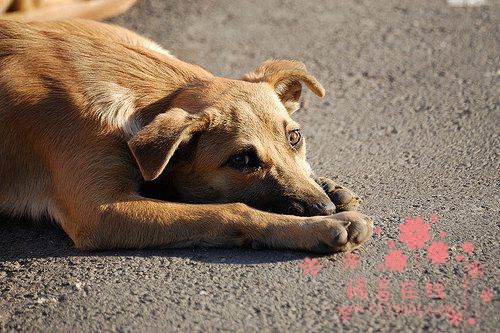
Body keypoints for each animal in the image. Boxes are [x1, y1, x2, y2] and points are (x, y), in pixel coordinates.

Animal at [0, 19, 372, 253]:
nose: (323, 208)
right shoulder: (102, 211)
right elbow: (229, 211)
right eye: (242, 160)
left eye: (294, 138)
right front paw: (318, 228)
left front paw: (328, 191)